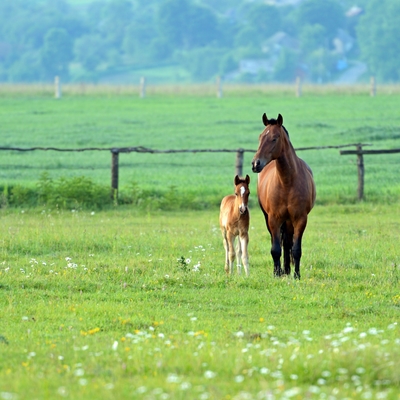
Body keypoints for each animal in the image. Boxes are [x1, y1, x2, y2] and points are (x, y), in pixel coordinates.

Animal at [252, 113, 314, 278]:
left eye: (274, 138)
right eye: (260, 137)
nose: (256, 164)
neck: (287, 182)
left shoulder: (300, 219)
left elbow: (296, 249)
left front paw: (296, 275)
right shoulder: (273, 219)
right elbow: (275, 249)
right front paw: (276, 273)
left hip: (289, 221)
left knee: (287, 243)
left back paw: (287, 269)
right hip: (270, 218)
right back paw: (281, 270)